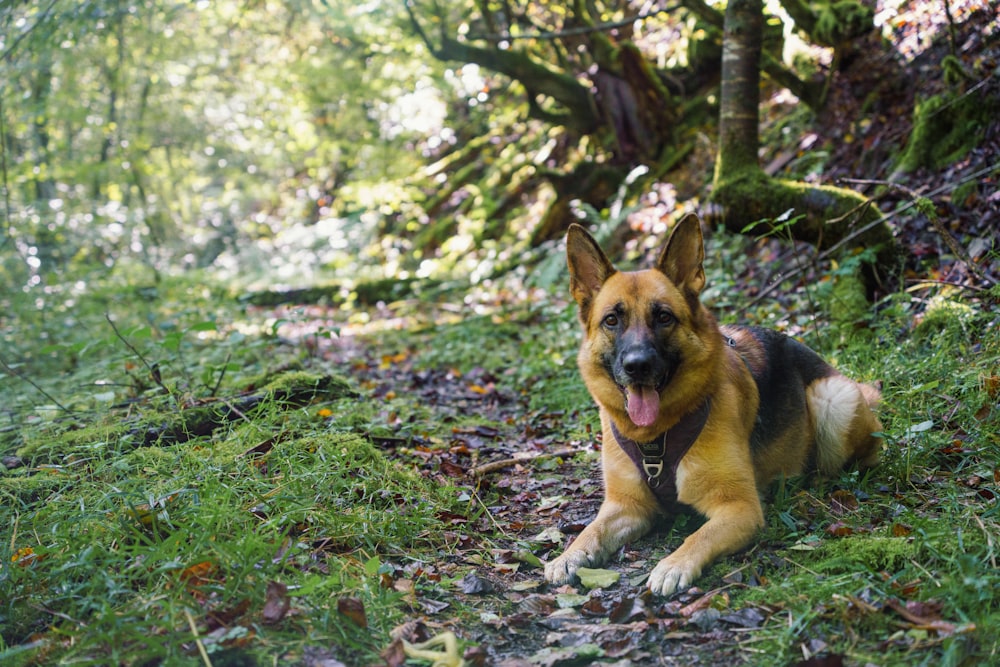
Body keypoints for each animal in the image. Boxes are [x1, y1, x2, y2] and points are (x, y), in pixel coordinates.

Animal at [544, 217, 880, 596]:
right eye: (612, 321)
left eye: (664, 317)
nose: (637, 366)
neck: (656, 436)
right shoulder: (626, 507)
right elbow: (592, 529)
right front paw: (568, 555)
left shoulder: (739, 508)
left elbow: (697, 536)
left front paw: (673, 565)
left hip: (832, 397)